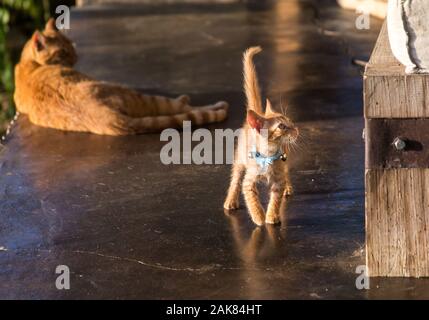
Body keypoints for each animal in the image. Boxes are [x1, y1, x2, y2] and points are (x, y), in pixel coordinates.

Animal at [14, 18, 227, 136]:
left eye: (70, 44)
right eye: (64, 51)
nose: (76, 56)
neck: (27, 64)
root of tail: (109, 118)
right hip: (136, 95)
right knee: (185, 107)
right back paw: (213, 105)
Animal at [224, 47, 298, 226]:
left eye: (291, 122)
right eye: (281, 126)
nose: (296, 130)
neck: (268, 154)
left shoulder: (278, 179)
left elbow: (276, 199)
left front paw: (271, 216)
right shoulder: (249, 181)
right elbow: (251, 199)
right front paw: (258, 217)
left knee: (286, 172)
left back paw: (288, 188)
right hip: (239, 159)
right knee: (235, 179)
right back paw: (230, 200)